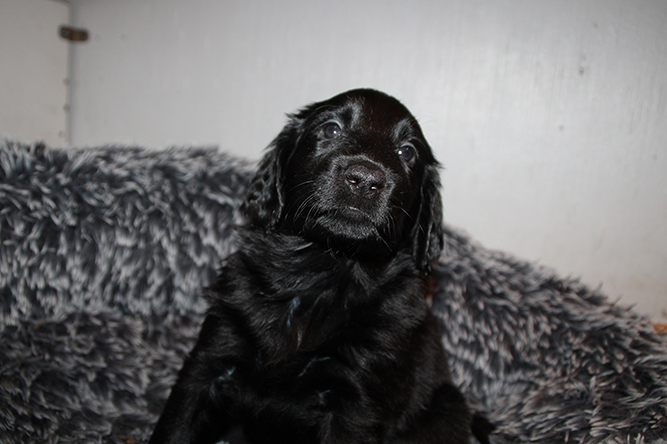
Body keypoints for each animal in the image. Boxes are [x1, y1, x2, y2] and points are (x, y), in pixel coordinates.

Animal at [150, 89, 472, 444]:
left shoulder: (354, 404)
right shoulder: (208, 363)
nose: (365, 180)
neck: (321, 269)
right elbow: (176, 428)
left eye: (407, 151)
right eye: (330, 129)